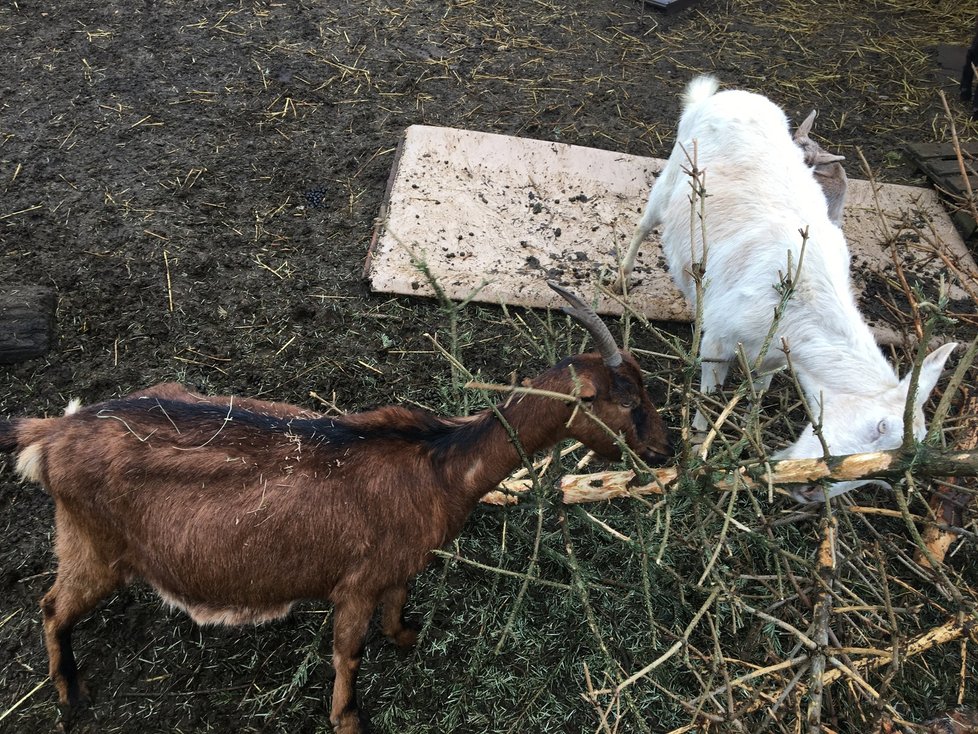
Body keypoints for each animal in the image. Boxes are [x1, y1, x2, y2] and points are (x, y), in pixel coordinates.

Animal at [0, 284, 672, 734]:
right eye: (625, 400)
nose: (668, 448)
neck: (439, 464)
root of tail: (52, 435)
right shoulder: (355, 581)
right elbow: (348, 652)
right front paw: (349, 718)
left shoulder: (397, 567)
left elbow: (398, 607)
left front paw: (408, 638)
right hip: (93, 543)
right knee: (52, 606)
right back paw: (70, 693)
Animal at [624, 76, 952, 500]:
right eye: (878, 426)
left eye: (880, 477)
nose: (811, 491)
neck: (801, 303)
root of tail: (724, 96)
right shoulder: (719, 338)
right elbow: (708, 397)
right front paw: (698, 446)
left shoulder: (776, 357)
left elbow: (757, 393)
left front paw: (745, 435)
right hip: (670, 173)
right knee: (645, 223)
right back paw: (621, 276)